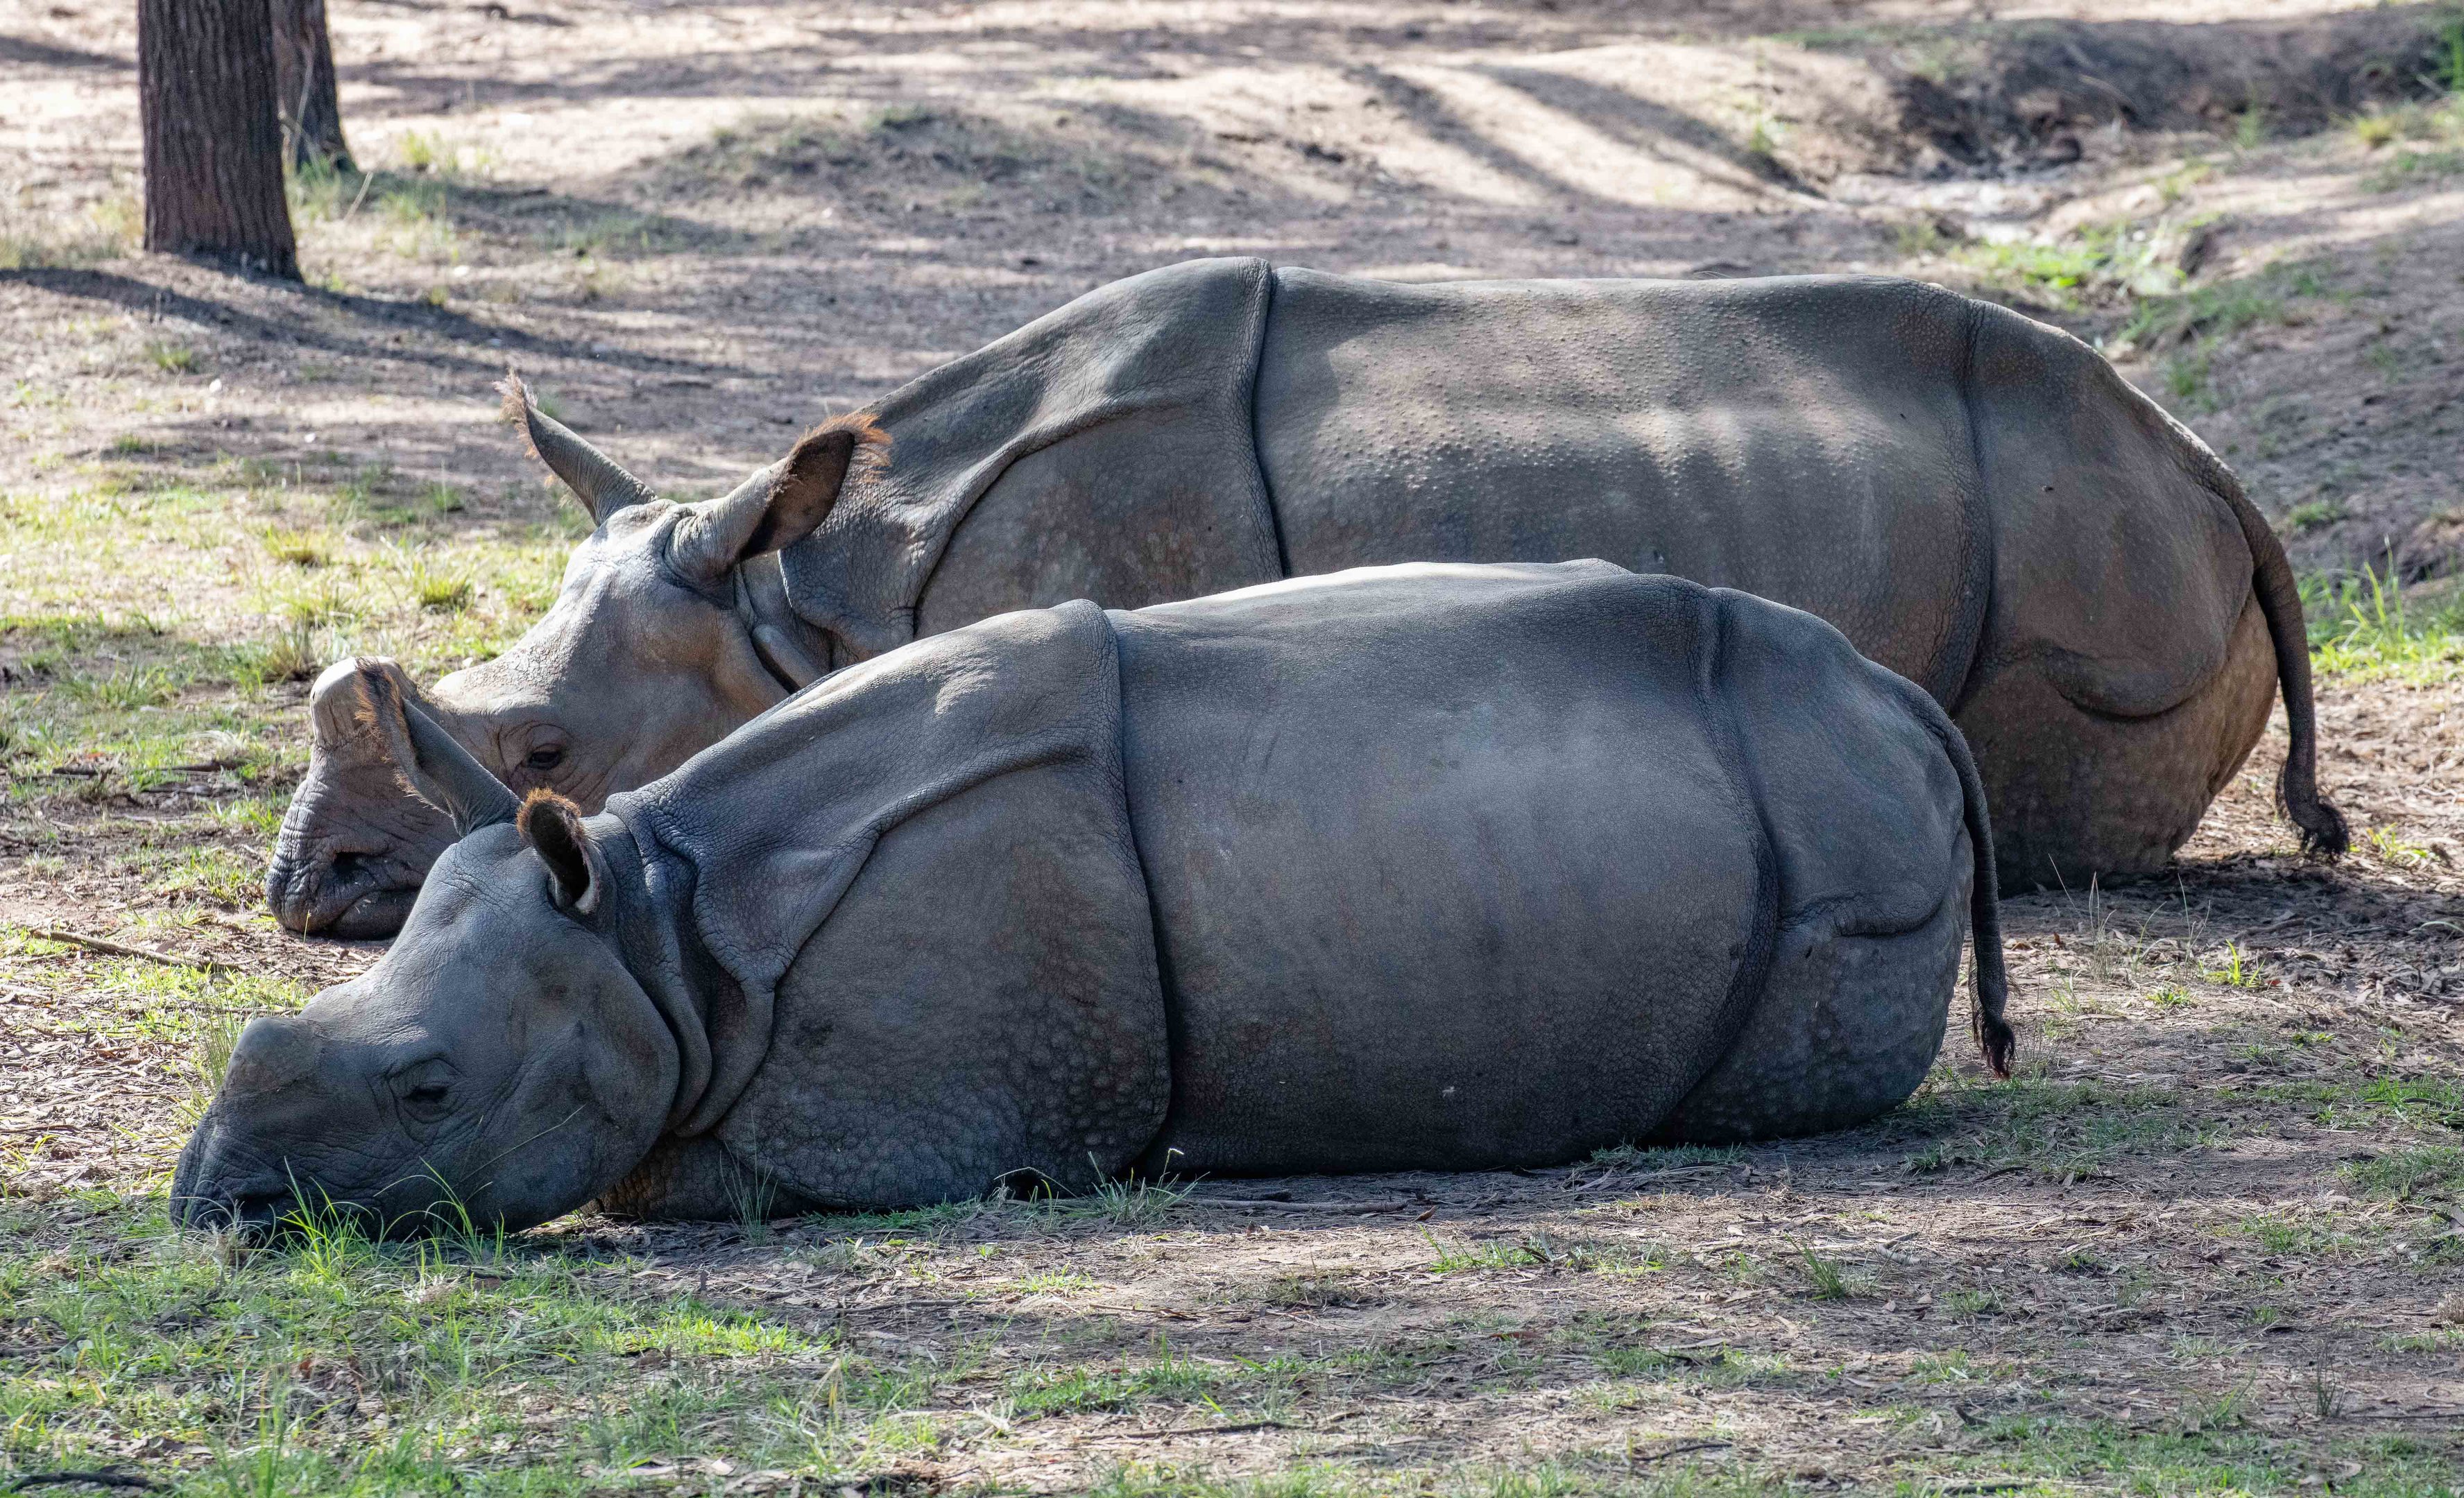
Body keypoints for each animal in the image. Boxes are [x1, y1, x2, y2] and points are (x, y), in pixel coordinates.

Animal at [182, 562, 2015, 1230]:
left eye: (430, 1091)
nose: (217, 1207)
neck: (655, 925)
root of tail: (1890, 694)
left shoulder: (896, 1113)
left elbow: (675, 1176)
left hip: (1825, 820)